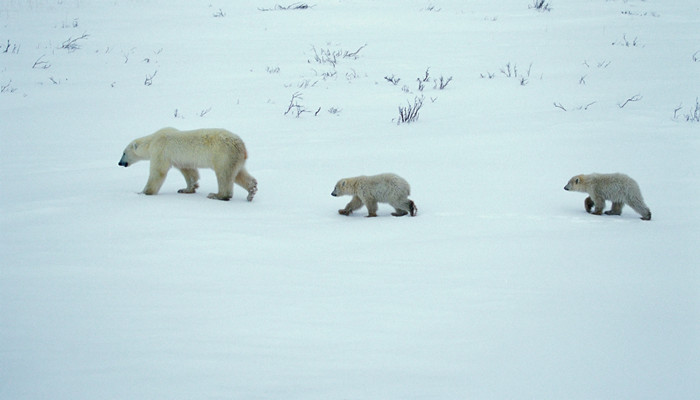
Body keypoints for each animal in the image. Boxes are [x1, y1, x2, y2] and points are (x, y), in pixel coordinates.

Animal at [119, 127, 258, 202]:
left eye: (123, 153)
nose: (119, 163)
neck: (152, 140)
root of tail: (241, 145)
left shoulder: (160, 150)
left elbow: (158, 172)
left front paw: (143, 192)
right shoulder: (181, 160)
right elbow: (189, 172)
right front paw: (186, 189)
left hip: (223, 154)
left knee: (224, 175)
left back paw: (217, 195)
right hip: (234, 158)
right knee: (239, 173)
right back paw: (251, 191)